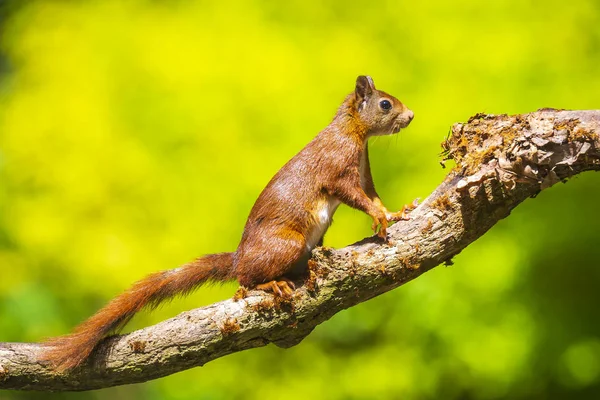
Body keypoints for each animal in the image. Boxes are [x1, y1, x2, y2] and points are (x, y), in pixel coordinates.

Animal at [39, 76, 414, 372]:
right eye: (385, 104)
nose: (410, 115)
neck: (353, 134)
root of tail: (238, 257)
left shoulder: (364, 173)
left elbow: (373, 196)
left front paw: (394, 213)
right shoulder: (338, 170)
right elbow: (356, 197)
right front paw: (379, 217)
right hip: (286, 244)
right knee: (246, 279)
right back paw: (270, 284)